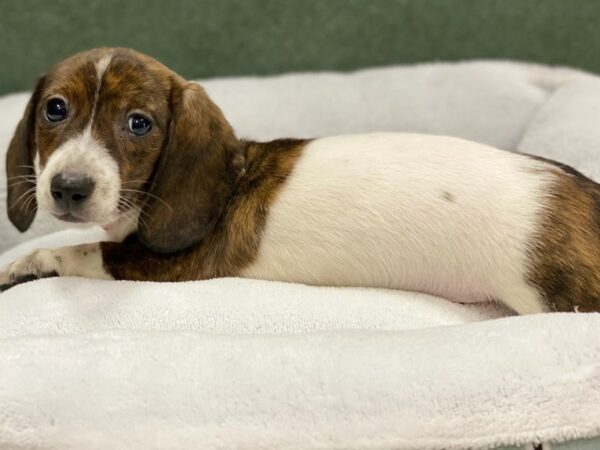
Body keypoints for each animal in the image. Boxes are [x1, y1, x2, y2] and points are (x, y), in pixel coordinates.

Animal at [1, 45, 600, 312]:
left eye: (139, 123)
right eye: (55, 109)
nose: (68, 188)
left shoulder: (167, 268)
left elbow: (77, 248)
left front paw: (28, 262)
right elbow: (71, 234)